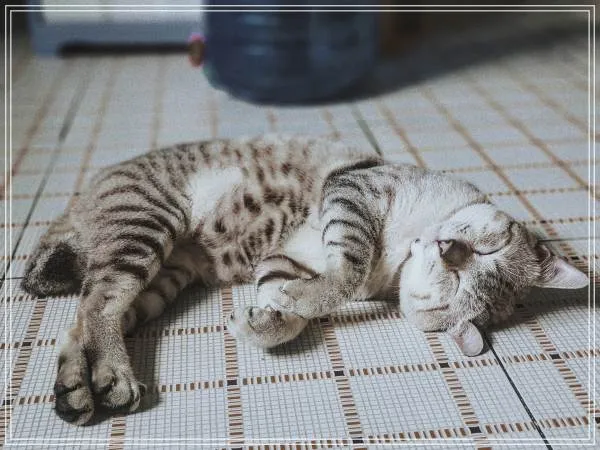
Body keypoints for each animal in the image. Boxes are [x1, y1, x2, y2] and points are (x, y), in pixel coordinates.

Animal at [21, 135, 588, 426]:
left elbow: (295, 303)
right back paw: (112, 376)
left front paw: (266, 319)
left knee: (86, 318)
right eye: (483, 248)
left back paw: (80, 388)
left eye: (456, 290)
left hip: (160, 276)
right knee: (98, 304)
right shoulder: (355, 188)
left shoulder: (284, 258)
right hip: (147, 225)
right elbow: (348, 269)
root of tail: (84, 195)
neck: (399, 253)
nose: (449, 249)